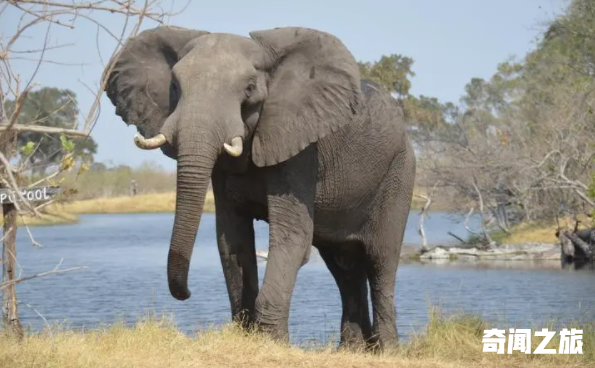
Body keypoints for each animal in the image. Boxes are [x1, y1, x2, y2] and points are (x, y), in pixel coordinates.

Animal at [102, 25, 416, 348]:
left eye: (249, 88)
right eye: (175, 86)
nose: (186, 293)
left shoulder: (300, 148)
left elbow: (292, 238)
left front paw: (272, 342)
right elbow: (232, 239)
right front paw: (247, 334)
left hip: (400, 172)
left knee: (381, 260)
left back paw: (386, 350)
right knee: (344, 266)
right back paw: (353, 349)